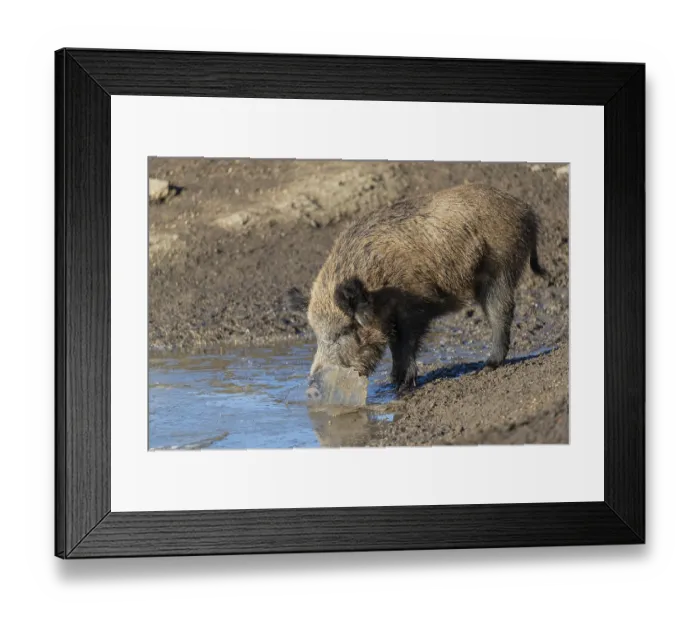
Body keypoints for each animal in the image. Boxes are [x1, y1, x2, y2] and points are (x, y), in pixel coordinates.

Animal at [289, 183, 547, 395]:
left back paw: (487, 366)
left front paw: (403, 387)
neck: (378, 285)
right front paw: (392, 383)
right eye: (317, 335)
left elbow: (407, 344)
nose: (311, 389)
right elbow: (395, 346)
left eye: (343, 332)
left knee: (500, 312)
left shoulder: (414, 308)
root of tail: (526, 211)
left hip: (501, 269)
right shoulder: (393, 318)